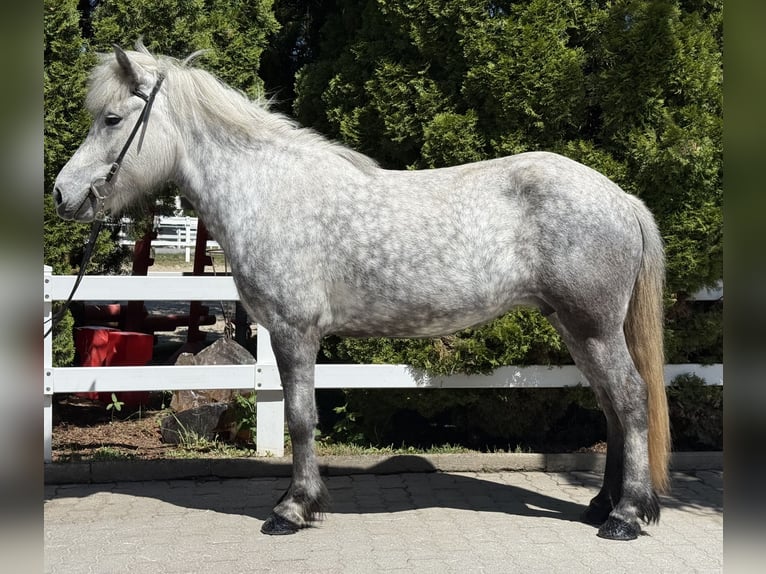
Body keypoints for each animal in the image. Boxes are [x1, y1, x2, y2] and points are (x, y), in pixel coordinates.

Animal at [53, 44, 670, 541]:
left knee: (630, 400)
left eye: (112, 118)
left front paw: (293, 509)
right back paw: (601, 504)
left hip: (592, 327)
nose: (63, 194)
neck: (269, 191)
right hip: (578, 329)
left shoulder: (294, 333)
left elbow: (301, 418)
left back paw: (626, 515)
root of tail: (618, 197)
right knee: (612, 407)